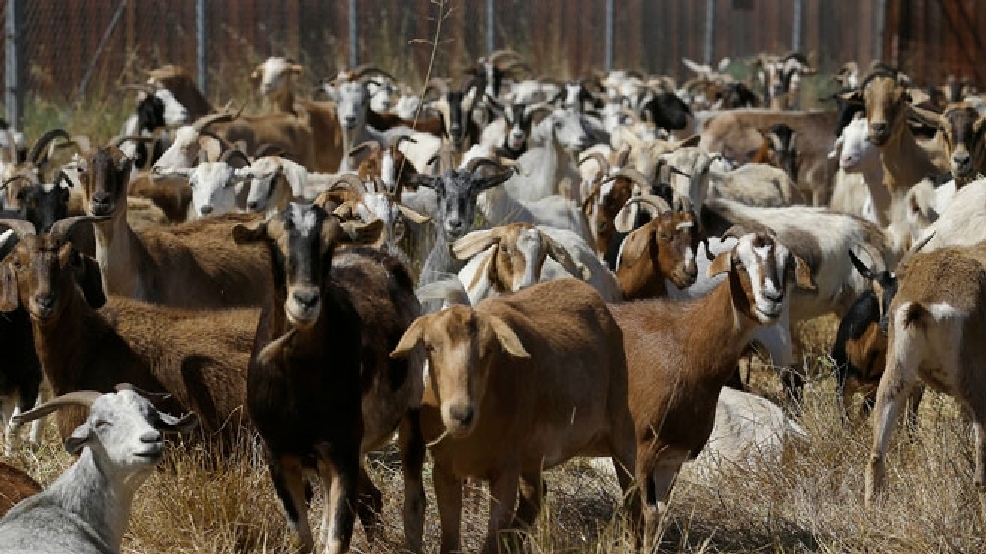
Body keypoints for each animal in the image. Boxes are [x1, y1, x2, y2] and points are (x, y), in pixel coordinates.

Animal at [232, 203, 426, 554]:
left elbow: (335, 539)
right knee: (369, 499)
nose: (305, 301)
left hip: (411, 411)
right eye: (274, 240)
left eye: (330, 242)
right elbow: (303, 539)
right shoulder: (278, 454)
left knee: (413, 502)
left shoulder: (343, 453)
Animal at [391, 278, 636, 554]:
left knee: (636, 497)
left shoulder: (505, 472)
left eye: (489, 350)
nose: (461, 414)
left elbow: (491, 541)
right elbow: (450, 541)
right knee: (536, 494)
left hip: (621, 423)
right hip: (532, 457)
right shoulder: (445, 471)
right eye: (430, 346)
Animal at [607, 227, 814, 546]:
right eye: (738, 261)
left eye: (788, 263)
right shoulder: (637, 451)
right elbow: (640, 514)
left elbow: (655, 516)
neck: (682, 339)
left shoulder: (672, 455)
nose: (772, 300)